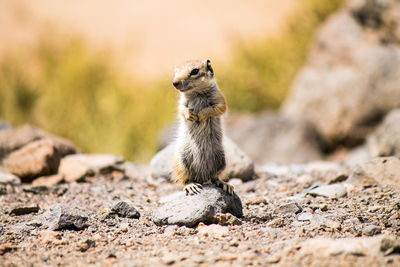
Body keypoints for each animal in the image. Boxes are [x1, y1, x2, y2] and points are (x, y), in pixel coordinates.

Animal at [172, 59, 234, 197]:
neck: (197, 92)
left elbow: (218, 108)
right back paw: (191, 186)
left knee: (215, 177)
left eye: (195, 71)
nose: (175, 83)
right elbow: (181, 109)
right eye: (175, 71)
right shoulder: (181, 102)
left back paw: (224, 184)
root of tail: (202, 176)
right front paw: (191, 115)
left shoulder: (219, 98)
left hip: (221, 160)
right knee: (184, 179)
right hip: (182, 162)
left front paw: (201, 115)